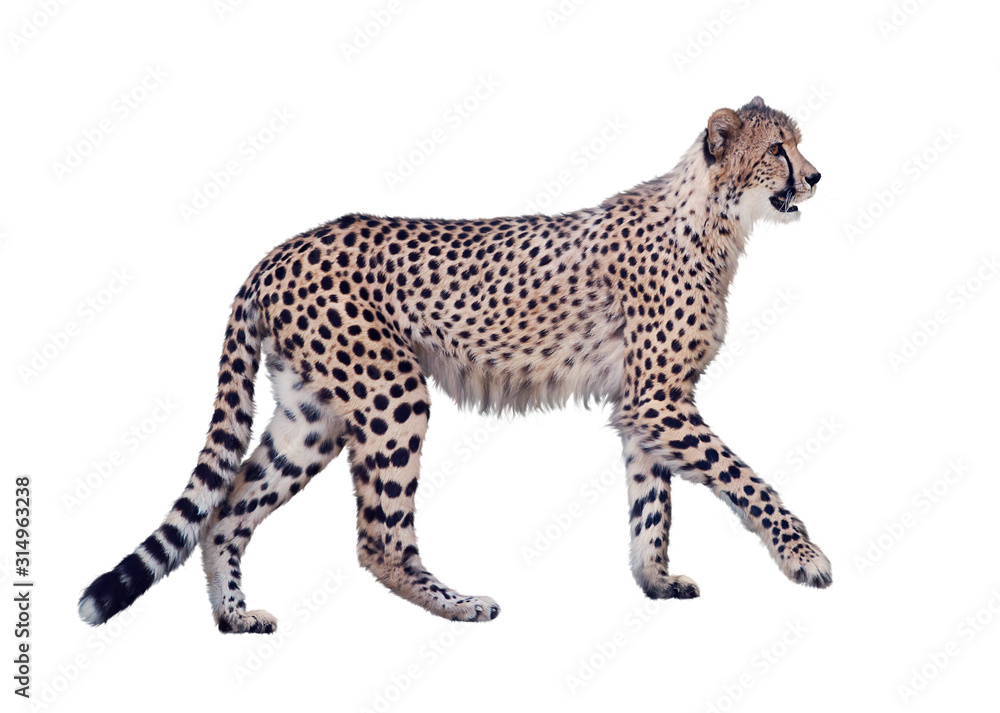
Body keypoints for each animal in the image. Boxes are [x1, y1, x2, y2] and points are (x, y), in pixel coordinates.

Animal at [79, 96, 830, 633]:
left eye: (797, 142)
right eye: (778, 149)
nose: (817, 176)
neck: (714, 217)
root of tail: (281, 248)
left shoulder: (646, 404)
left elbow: (654, 501)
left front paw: (655, 579)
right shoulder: (660, 401)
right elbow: (747, 481)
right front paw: (804, 558)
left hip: (310, 416)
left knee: (227, 510)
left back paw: (234, 616)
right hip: (391, 393)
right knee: (378, 538)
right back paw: (457, 603)